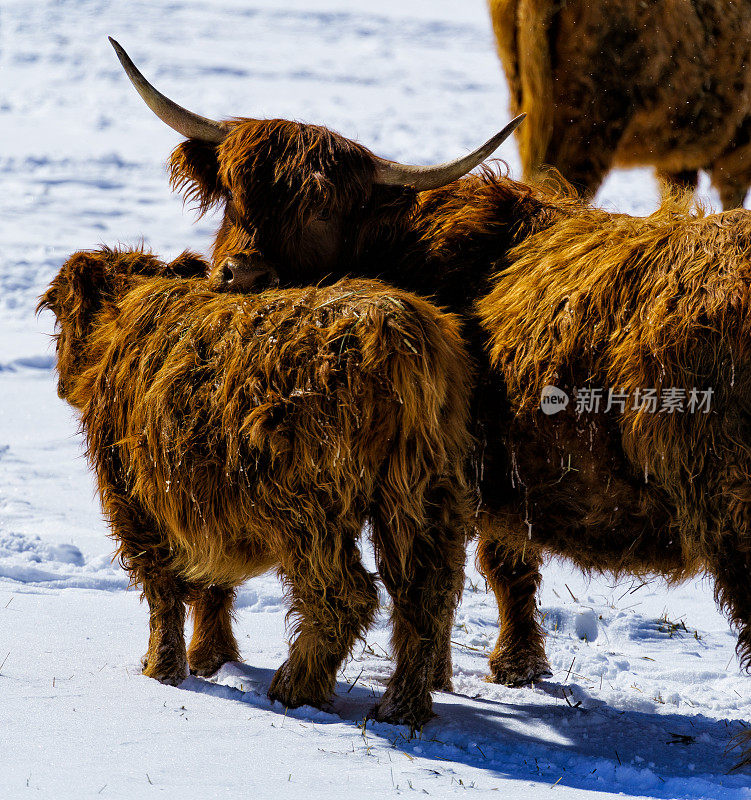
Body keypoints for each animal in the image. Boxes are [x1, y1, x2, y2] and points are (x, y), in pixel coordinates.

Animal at [38, 247, 472, 728]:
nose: (60, 385)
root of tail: (395, 328)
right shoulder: (203, 504)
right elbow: (212, 583)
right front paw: (211, 657)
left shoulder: (134, 499)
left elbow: (162, 591)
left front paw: (161, 670)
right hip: (421, 492)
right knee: (426, 593)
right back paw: (401, 706)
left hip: (304, 507)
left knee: (345, 595)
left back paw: (295, 688)